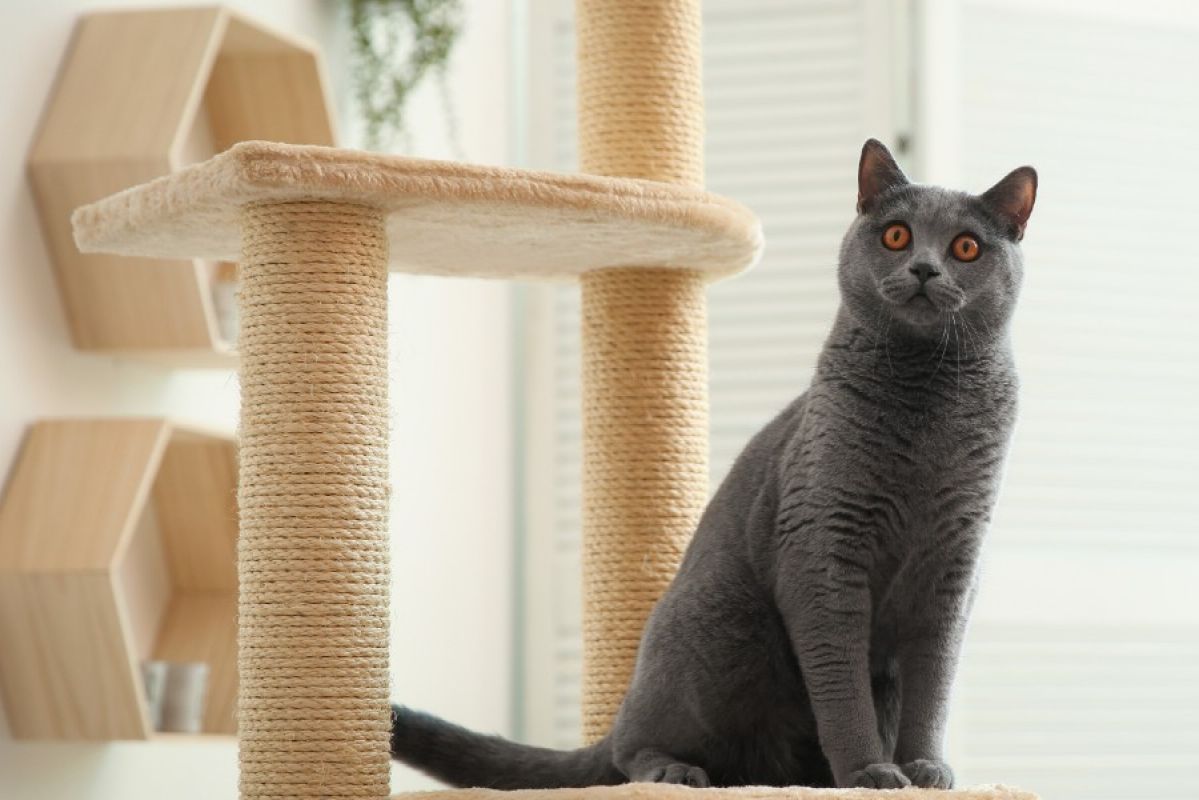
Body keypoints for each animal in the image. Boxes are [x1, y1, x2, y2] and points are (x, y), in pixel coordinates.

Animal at [388, 140, 1035, 791]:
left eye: (966, 247)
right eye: (898, 235)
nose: (925, 268)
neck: (927, 407)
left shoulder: (953, 567)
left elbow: (934, 685)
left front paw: (925, 770)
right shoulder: (822, 550)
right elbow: (842, 689)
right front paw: (869, 773)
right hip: (722, 623)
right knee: (632, 746)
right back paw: (675, 771)